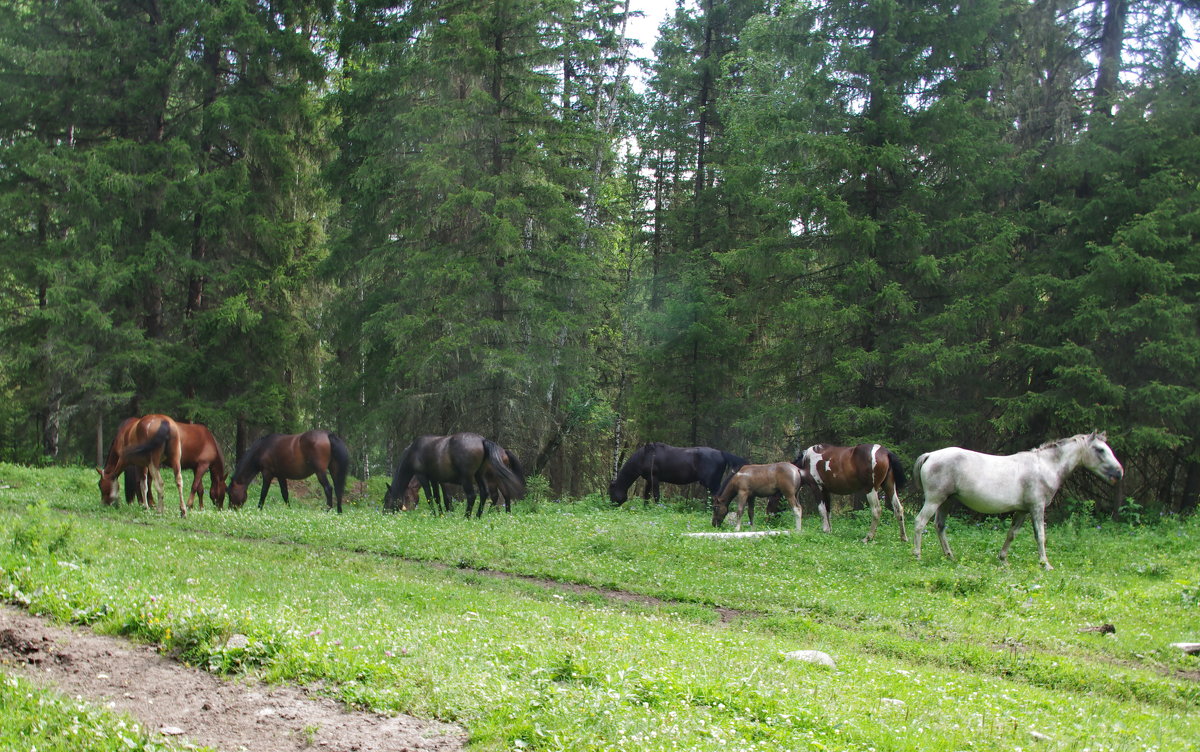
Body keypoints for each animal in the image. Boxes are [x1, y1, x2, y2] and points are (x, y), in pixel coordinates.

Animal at [379, 436, 520, 518]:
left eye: (387, 499)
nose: (384, 513)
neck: (414, 452)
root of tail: (483, 441)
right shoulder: (435, 479)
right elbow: (437, 498)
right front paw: (441, 514)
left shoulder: (425, 477)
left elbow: (433, 497)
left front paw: (436, 514)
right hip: (480, 476)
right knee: (487, 494)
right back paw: (479, 515)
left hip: (472, 479)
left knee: (475, 496)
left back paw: (467, 516)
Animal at [609, 443, 748, 508]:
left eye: (611, 491)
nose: (610, 505)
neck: (644, 456)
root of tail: (721, 453)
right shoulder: (648, 479)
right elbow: (646, 496)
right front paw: (646, 508)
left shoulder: (655, 478)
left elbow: (656, 496)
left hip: (711, 483)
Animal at [907, 429, 1123, 570]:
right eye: (1100, 450)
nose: (1119, 473)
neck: (1044, 466)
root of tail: (930, 455)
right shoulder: (1037, 508)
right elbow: (1040, 536)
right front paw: (1045, 564)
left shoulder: (1022, 511)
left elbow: (1012, 534)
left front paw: (1003, 559)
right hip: (935, 500)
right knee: (920, 522)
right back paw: (917, 555)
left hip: (946, 501)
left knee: (939, 526)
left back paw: (949, 556)